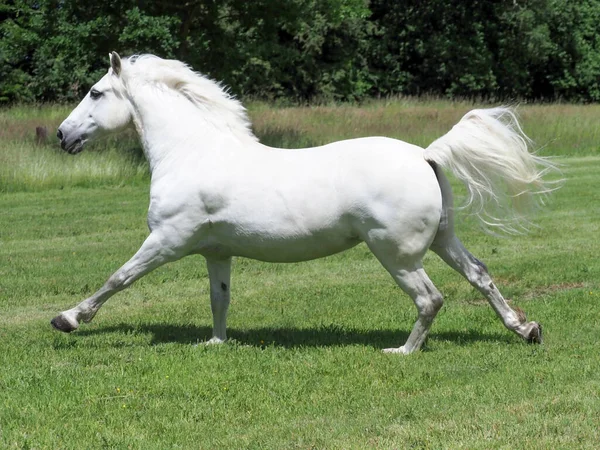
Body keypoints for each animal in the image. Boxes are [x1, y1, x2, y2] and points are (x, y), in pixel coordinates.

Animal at [54, 52, 556, 354]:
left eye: (96, 92)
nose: (62, 135)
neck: (193, 152)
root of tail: (423, 154)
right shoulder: (216, 252)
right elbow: (220, 299)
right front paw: (215, 343)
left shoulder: (167, 240)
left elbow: (118, 278)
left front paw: (68, 319)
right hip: (442, 240)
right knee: (480, 275)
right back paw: (526, 328)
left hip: (396, 253)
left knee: (430, 298)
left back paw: (402, 350)